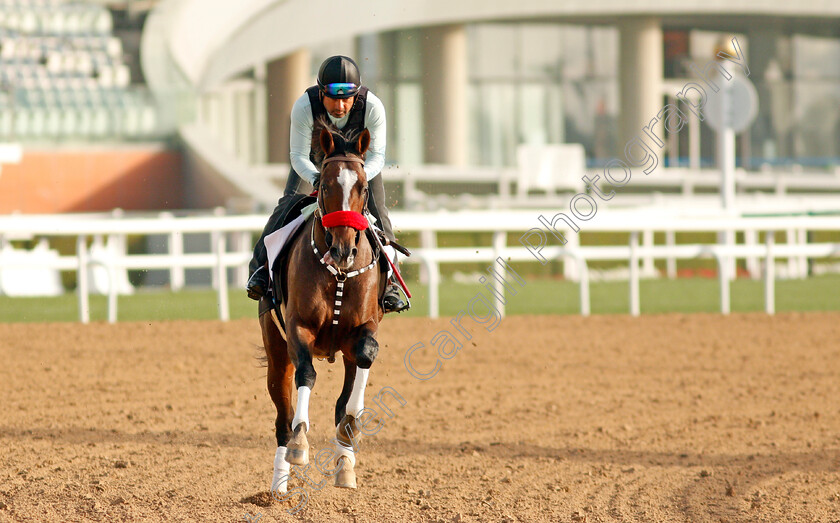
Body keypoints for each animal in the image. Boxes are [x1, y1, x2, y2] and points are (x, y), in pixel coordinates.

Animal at [258, 124, 386, 500]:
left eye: (363, 187)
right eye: (326, 186)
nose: (343, 250)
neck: (339, 274)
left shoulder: (363, 331)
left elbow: (357, 379)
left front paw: (349, 436)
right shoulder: (299, 328)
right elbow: (307, 376)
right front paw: (300, 444)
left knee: (342, 397)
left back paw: (344, 462)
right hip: (276, 350)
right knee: (282, 417)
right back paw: (278, 485)